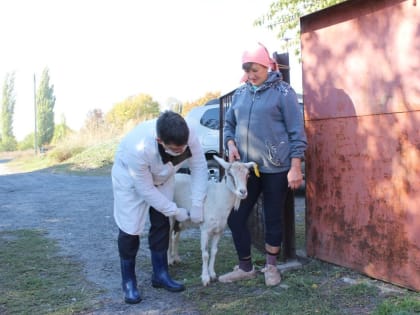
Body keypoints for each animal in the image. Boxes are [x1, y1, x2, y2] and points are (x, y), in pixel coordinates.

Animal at [169, 155, 254, 286]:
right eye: (230, 174)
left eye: (248, 174)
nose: (243, 192)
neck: (218, 198)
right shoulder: (205, 229)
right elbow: (205, 254)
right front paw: (205, 278)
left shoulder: (219, 230)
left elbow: (214, 251)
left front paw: (212, 274)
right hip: (169, 217)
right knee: (168, 238)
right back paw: (169, 261)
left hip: (181, 219)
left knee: (175, 236)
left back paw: (176, 258)